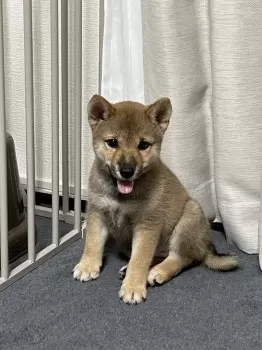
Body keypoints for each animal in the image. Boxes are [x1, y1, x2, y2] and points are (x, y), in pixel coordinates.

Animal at [72, 95, 238, 304]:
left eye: (143, 145)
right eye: (112, 142)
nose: (127, 171)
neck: (121, 195)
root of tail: (204, 247)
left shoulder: (147, 225)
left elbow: (140, 259)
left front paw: (133, 287)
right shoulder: (97, 213)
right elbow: (93, 243)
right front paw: (88, 265)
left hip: (189, 216)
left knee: (181, 258)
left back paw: (158, 272)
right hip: (127, 244)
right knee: (157, 255)